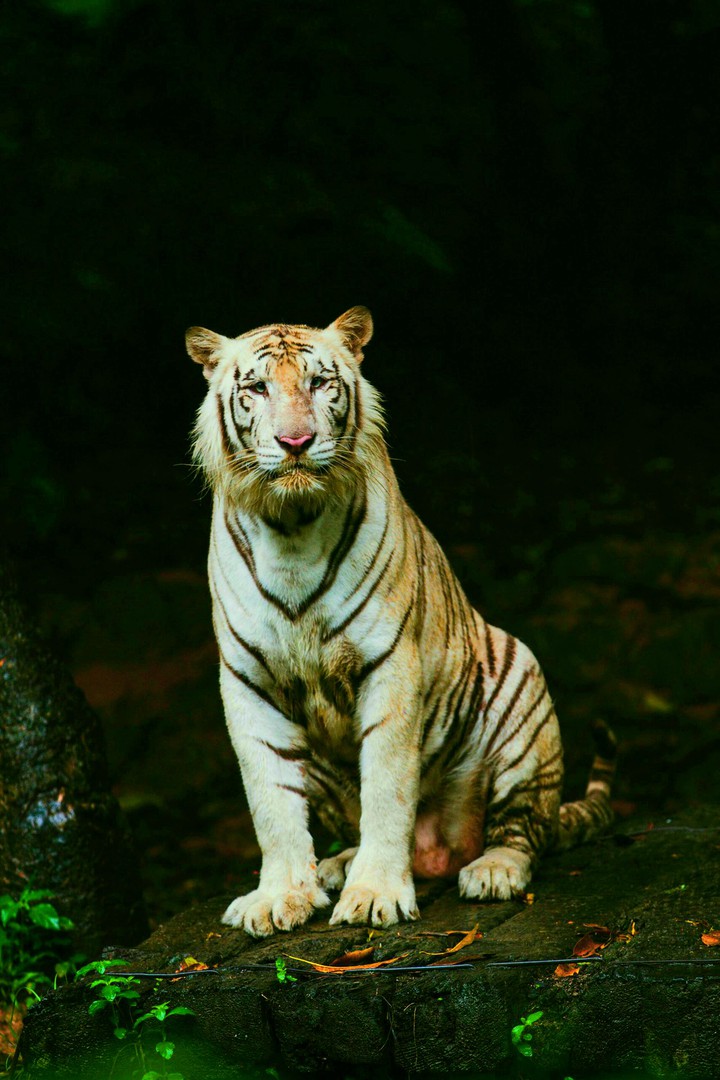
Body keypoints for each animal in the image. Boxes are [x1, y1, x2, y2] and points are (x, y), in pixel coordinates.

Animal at [186, 306, 616, 938]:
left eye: (320, 382)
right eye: (258, 388)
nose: (296, 442)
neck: (291, 526)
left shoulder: (389, 666)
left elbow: (388, 789)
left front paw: (374, 895)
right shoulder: (248, 682)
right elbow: (270, 803)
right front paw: (279, 896)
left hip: (522, 688)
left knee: (524, 830)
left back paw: (492, 869)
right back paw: (334, 867)